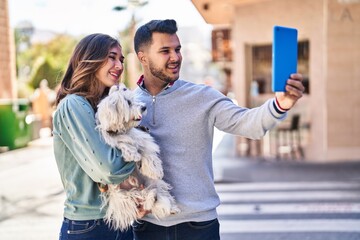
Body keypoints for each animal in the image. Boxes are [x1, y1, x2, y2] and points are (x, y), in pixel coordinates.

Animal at [95, 84, 180, 231]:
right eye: (128, 103)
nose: (144, 107)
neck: (123, 130)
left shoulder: (142, 138)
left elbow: (148, 153)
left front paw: (154, 170)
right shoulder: (109, 139)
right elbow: (121, 143)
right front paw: (132, 153)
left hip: (153, 183)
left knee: (159, 195)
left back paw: (168, 206)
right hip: (121, 195)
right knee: (142, 197)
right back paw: (150, 198)